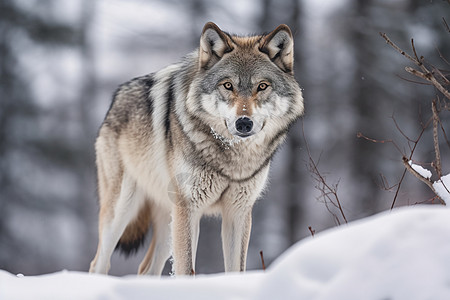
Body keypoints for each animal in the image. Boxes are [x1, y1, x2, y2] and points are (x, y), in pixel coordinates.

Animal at [89, 21, 304, 276]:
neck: (233, 158)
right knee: (98, 263)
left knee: (146, 268)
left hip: (167, 221)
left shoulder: (238, 211)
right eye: (228, 85)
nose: (244, 123)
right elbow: (186, 269)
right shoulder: (189, 207)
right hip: (123, 210)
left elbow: (235, 269)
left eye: (262, 86)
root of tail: (114, 100)